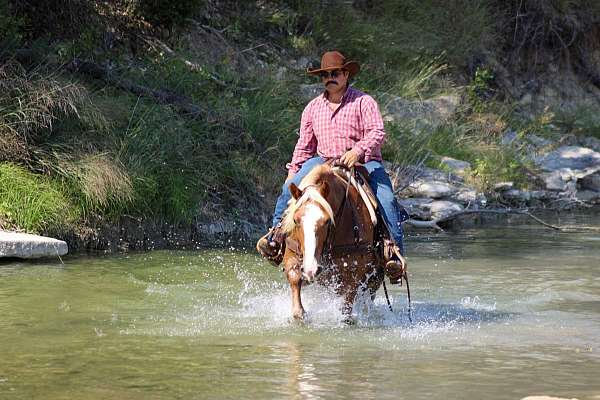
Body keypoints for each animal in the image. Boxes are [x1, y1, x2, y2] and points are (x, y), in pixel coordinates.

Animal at [280, 162, 386, 322]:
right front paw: (300, 314)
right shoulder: (293, 255)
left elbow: (346, 310)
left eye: (327, 221)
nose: (311, 269)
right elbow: (294, 282)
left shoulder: (354, 274)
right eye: (295, 220)